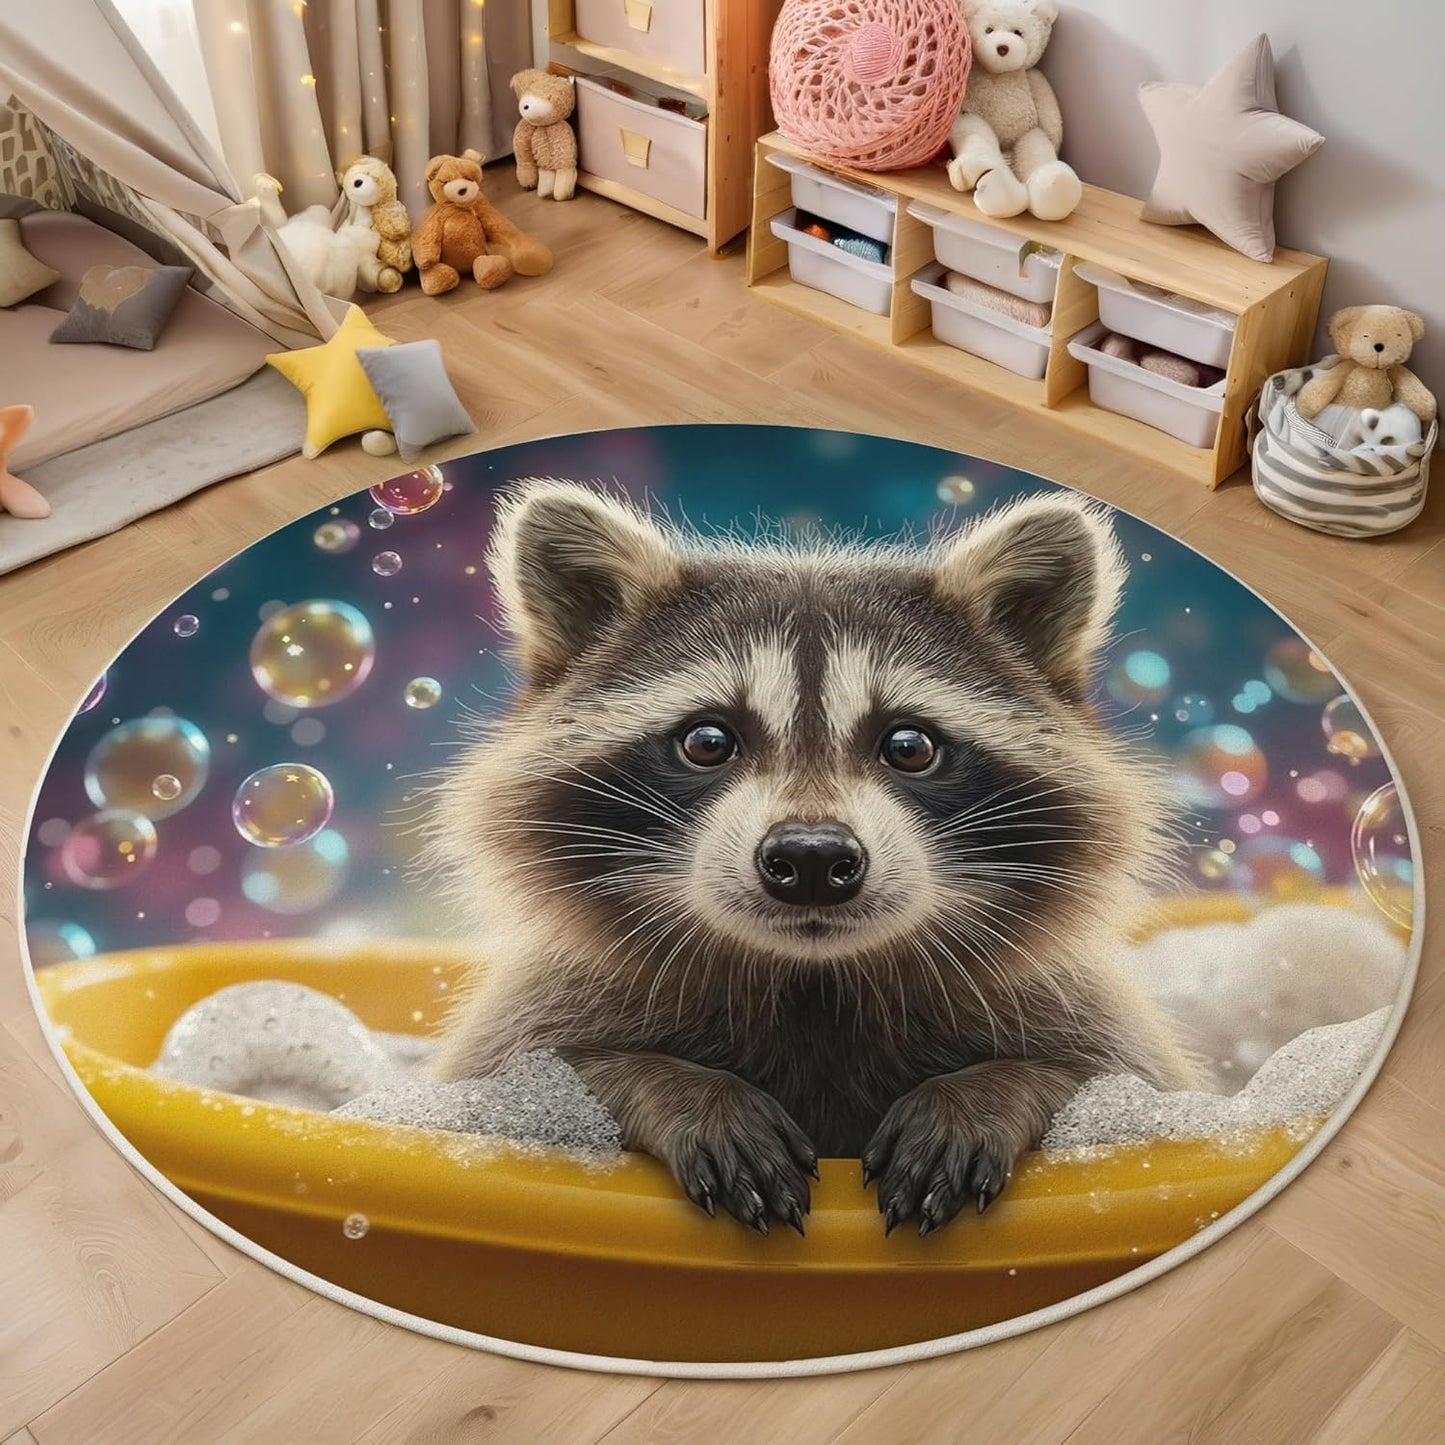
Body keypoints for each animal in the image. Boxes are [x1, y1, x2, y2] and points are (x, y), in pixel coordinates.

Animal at [430, 481, 1192, 1237]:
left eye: (909, 745)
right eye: (707, 740)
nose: (813, 858)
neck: (814, 982)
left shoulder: (1072, 1008)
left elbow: (1117, 1087)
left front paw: (987, 1090)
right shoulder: (547, 1005)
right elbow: (531, 1083)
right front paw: (676, 1085)